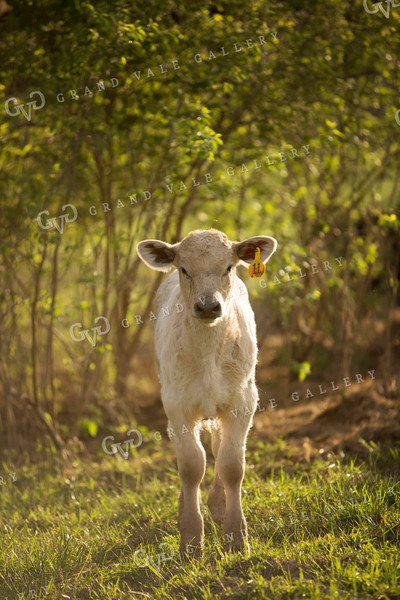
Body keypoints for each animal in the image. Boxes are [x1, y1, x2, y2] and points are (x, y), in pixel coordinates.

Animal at [136, 227, 276, 556]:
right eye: (184, 269)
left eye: (229, 267)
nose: (209, 306)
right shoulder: (176, 404)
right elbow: (190, 465)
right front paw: (191, 538)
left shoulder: (243, 400)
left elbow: (232, 464)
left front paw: (237, 536)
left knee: (218, 445)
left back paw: (218, 502)